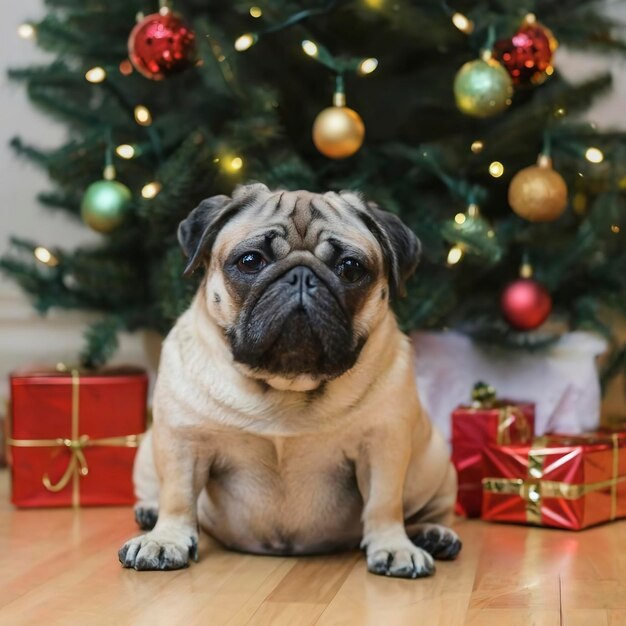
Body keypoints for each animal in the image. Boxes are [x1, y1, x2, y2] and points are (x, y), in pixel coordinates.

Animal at [119, 183, 458, 576]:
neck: (286, 384)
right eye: (250, 261)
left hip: (433, 462)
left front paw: (393, 546)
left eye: (350, 268)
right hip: (148, 449)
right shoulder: (183, 442)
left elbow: (384, 503)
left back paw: (433, 533)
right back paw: (149, 512)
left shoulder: (382, 446)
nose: (301, 276)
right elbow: (177, 496)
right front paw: (164, 540)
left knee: (430, 508)